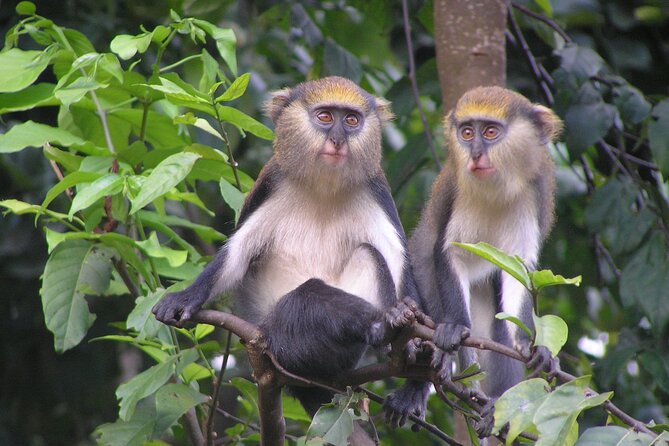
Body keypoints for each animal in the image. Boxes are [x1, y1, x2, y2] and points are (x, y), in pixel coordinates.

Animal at [152, 76, 426, 430]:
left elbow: (400, 268)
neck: (324, 187)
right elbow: (236, 255)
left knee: (368, 256)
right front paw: (184, 298)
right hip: (281, 344)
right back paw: (380, 322)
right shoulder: (272, 182)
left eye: (351, 120)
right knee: (308, 298)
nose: (338, 140)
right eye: (325, 117)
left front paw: (417, 377)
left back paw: (393, 328)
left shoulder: (376, 189)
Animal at [389, 86, 562, 436]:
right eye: (467, 133)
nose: (476, 155)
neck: (496, 190)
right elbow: (449, 252)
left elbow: (519, 272)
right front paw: (456, 328)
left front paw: (533, 347)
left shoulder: (532, 195)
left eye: (491, 132)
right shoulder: (457, 195)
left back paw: (494, 406)